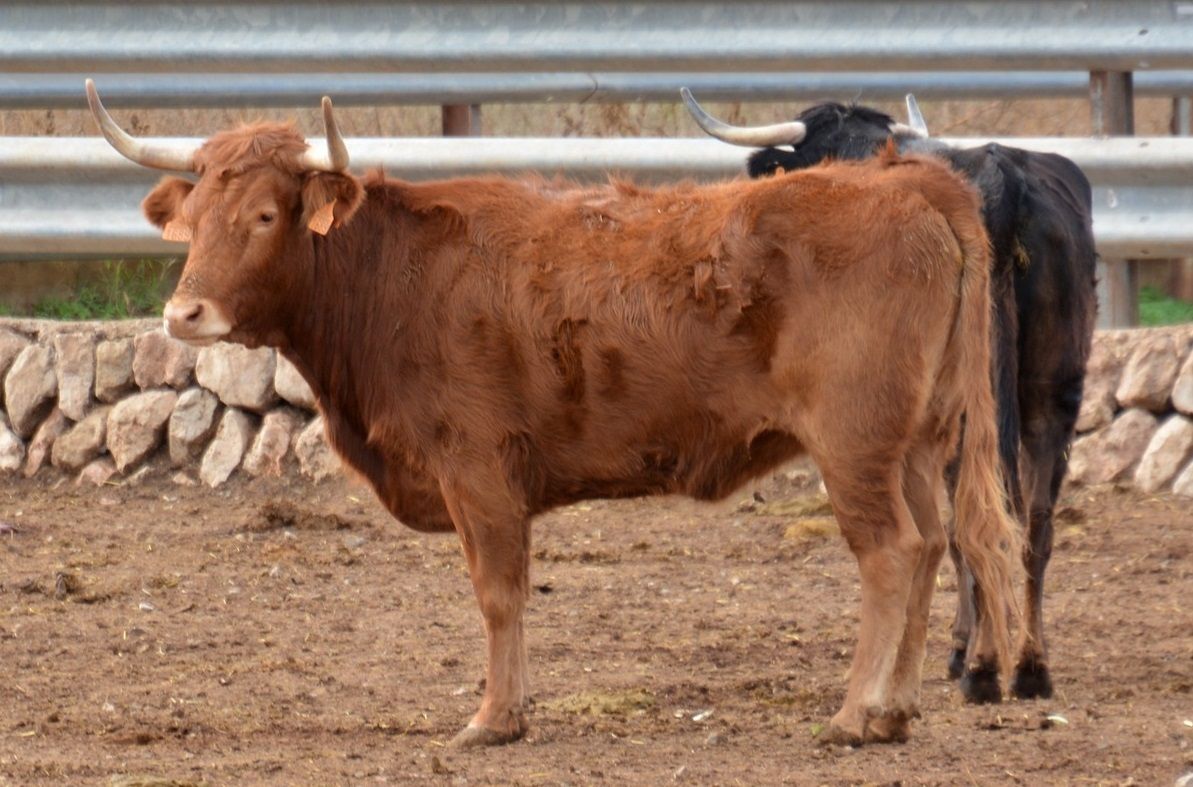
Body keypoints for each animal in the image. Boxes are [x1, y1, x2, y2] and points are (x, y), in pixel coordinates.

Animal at [88, 81, 1016, 748]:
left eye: (264, 215)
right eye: (193, 218)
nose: (185, 314)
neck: (395, 277)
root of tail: (911, 182)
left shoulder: (477, 469)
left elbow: (499, 592)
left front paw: (494, 718)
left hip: (855, 445)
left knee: (890, 552)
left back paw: (856, 715)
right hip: (915, 442)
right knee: (931, 545)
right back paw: (895, 711)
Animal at [687, 89, 1092, 705]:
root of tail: (1003, 179)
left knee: (982, 517)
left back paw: (982, 666)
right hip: (1055, 391)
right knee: (1035, 522)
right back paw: (1030, 666)